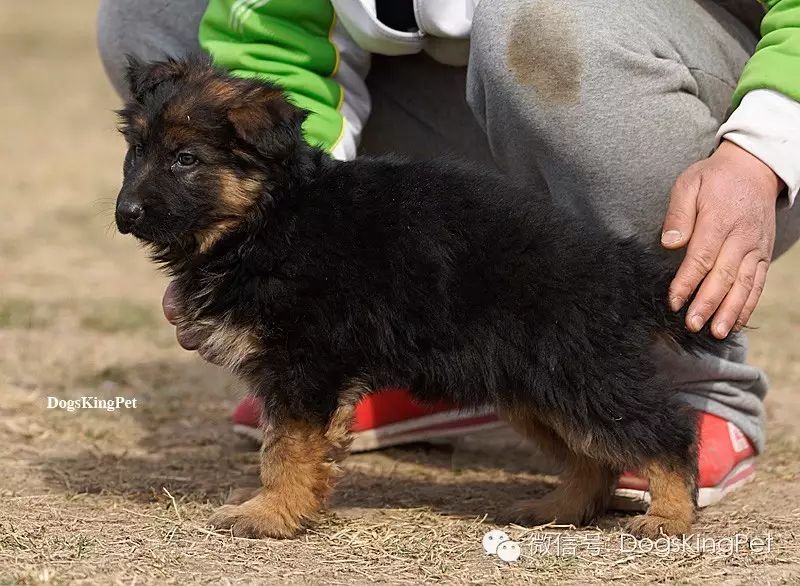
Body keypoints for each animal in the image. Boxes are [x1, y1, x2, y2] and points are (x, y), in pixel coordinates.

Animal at [114, 57, 724, 536]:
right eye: (136, 152)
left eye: (186, 159)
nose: (125, 215)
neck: (269, 219)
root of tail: (618, 264)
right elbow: (291, 446)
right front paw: (284, 502)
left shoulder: (304, 366)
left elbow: (284, 448)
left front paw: (270, 514)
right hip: (537, 386)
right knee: (592, 458)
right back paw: (559, 508)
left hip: (583, 373)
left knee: (668, 431)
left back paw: (669, 516)